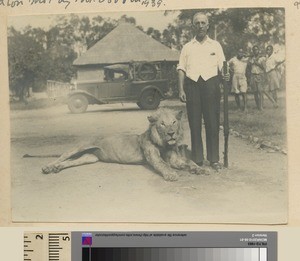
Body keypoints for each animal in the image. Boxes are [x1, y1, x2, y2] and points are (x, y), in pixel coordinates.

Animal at [40, 107, 209, 179]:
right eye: (162, 124)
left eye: (173, 122)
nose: (171, 133)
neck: (163, 143)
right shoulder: (154, 158)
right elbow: (163, 165)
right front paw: (171, 174)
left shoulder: (175, 159)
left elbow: (190, 162)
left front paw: (201, 169)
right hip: (80, 147)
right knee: (62, 156)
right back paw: (48, 167)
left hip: (90, 158)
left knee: (69, 162)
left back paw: (56, 169)